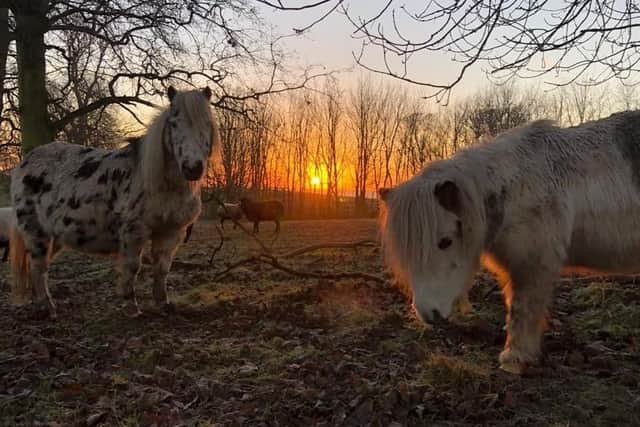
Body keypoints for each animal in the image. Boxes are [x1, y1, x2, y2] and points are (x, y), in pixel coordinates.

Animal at [9, 86, 219, 319]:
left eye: (207, 123)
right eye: (173, 123)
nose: (192, 168)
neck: (159, 182)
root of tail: (26, 161)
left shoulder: (171, 232)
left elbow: (162, 269)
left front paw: (163, 304)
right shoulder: (134, 231)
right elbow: (133, 267)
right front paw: (132, 306)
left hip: (54, 237)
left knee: (36, 268)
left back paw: (39, 306)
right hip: (35, 232)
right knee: (39, 267)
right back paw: (48, 308)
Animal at [379, 111, 640, 374]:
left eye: (445, 241)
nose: (427, 313)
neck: (514, 186)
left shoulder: (533, 264)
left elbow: (522, 309)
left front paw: (514, 358)